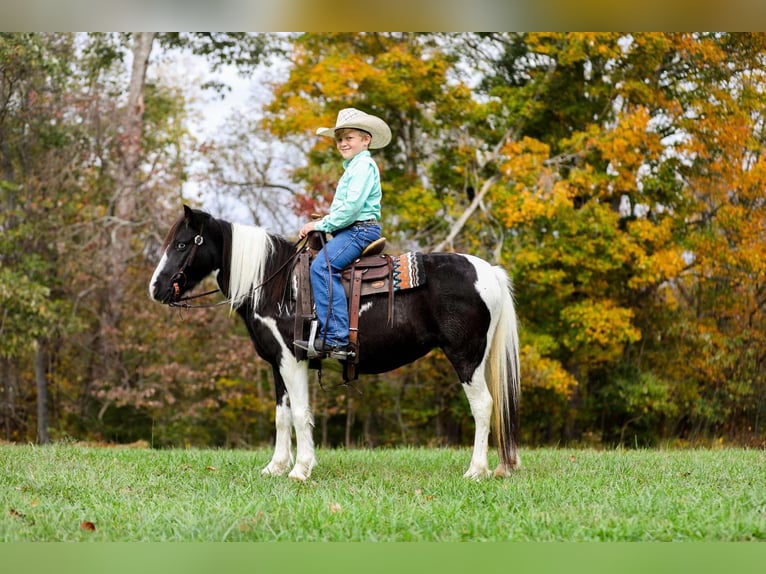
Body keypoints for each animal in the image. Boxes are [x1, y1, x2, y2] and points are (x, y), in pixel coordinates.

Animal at [149, 205, 521, 481]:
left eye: (182, 244)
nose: (156, 288)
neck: (275, 284)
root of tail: (489, 272)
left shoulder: (292, 359)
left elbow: (301, 413)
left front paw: (300, 470)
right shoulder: (276, 363)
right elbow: (282, 416)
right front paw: (275, 467)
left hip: (466, 357)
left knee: (483, 406)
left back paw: (475, 471)